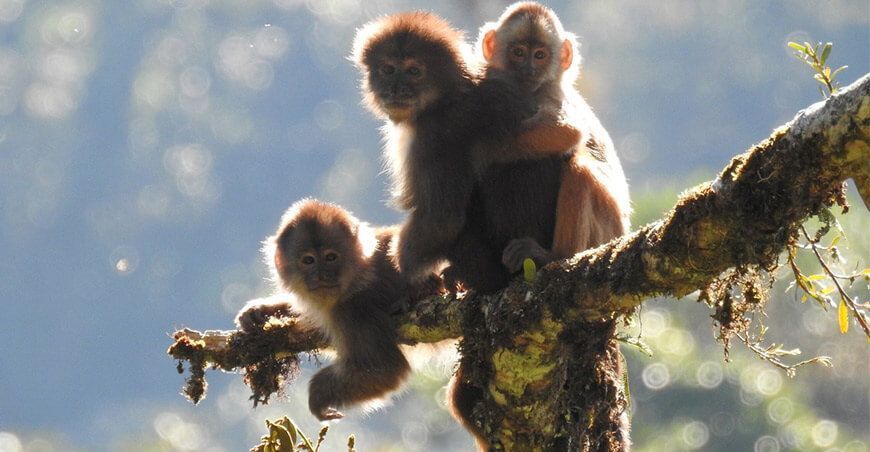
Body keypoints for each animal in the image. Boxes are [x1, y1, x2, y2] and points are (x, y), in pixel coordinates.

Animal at [235, 199, 442, 421]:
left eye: (331, 257)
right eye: (308, 261)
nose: (321, 276)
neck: (357, 277)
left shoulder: (353, 311)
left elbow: (384, 370)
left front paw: (318, 395)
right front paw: (259, 311)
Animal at [351, 12, 582, 289]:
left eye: (414, 71)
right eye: (388, 70)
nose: (395, 89)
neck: (445, 97)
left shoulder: (432, 137)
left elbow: (442, 219)